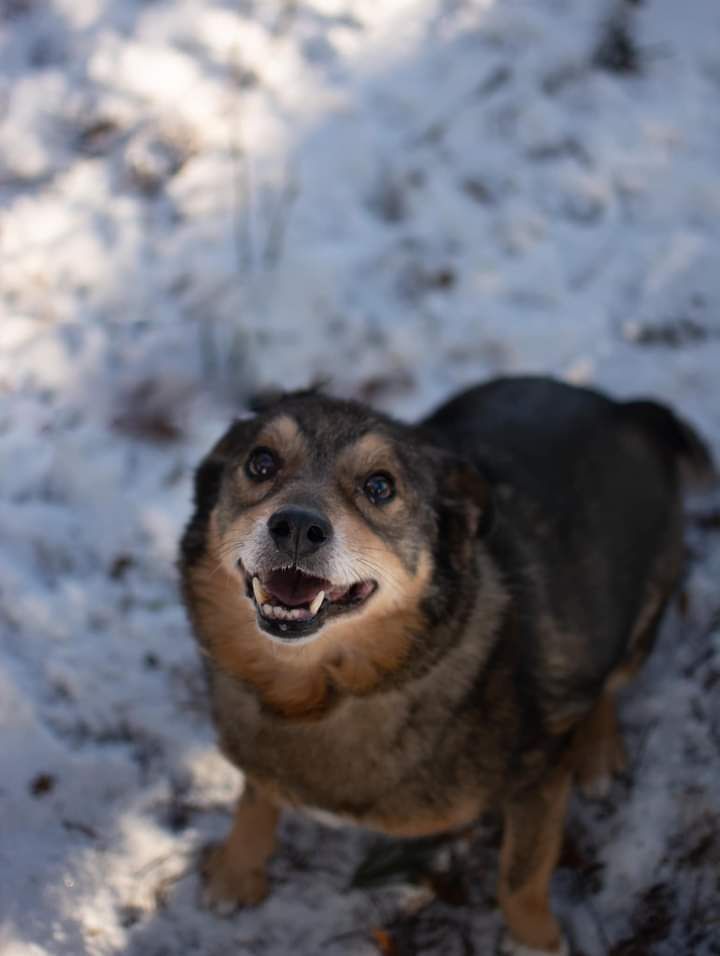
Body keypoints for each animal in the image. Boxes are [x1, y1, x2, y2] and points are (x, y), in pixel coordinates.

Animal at [181, 378, 716, 952]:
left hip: (642, 614)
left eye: (379, 487)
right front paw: (237, 872)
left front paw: (534, 940)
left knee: (611, 682)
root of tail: (627, 409)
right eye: (260, 462)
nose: (297, 526)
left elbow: (522, 874)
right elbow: (255, 798)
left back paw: (596, 750)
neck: (324, 689)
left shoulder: (539, 778)